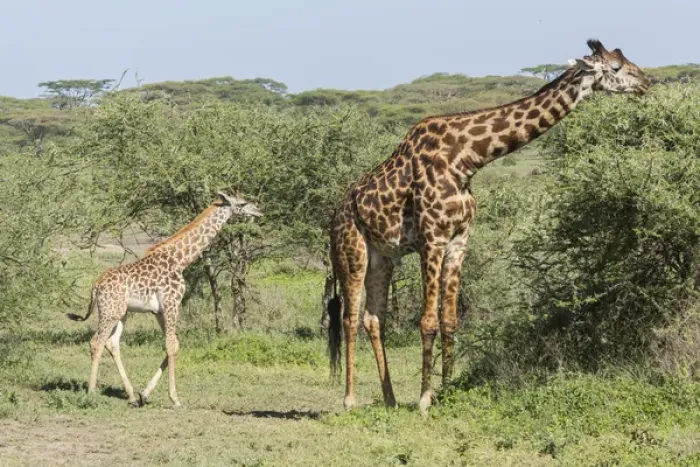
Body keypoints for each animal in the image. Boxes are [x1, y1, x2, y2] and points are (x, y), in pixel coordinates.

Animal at [67, 192, 262, 407]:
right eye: (242, 203)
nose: (258, 211)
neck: (181, 259)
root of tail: (95, 286)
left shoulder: (158, 310)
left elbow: (174, 344)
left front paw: (145, 393)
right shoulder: (172, 303)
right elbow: (170, 346)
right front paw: (175, 398)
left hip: (121, 313)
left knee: (112, 343)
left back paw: (131, 396)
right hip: (110, 311)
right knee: (96, 342)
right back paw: (91, 394)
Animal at [327, 39, 650, 414]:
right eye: (615, 67)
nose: (646, 82)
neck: (467, 159)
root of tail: (335, 213)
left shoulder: (458, 240)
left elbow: (450, 321)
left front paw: (447, 390)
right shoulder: (432, 239)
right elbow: (428, 321)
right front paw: (424, 399)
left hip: (383, 256)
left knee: (373, 318)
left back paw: (390, 399)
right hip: (351, 251)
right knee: (350, 317)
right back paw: (350, 399)